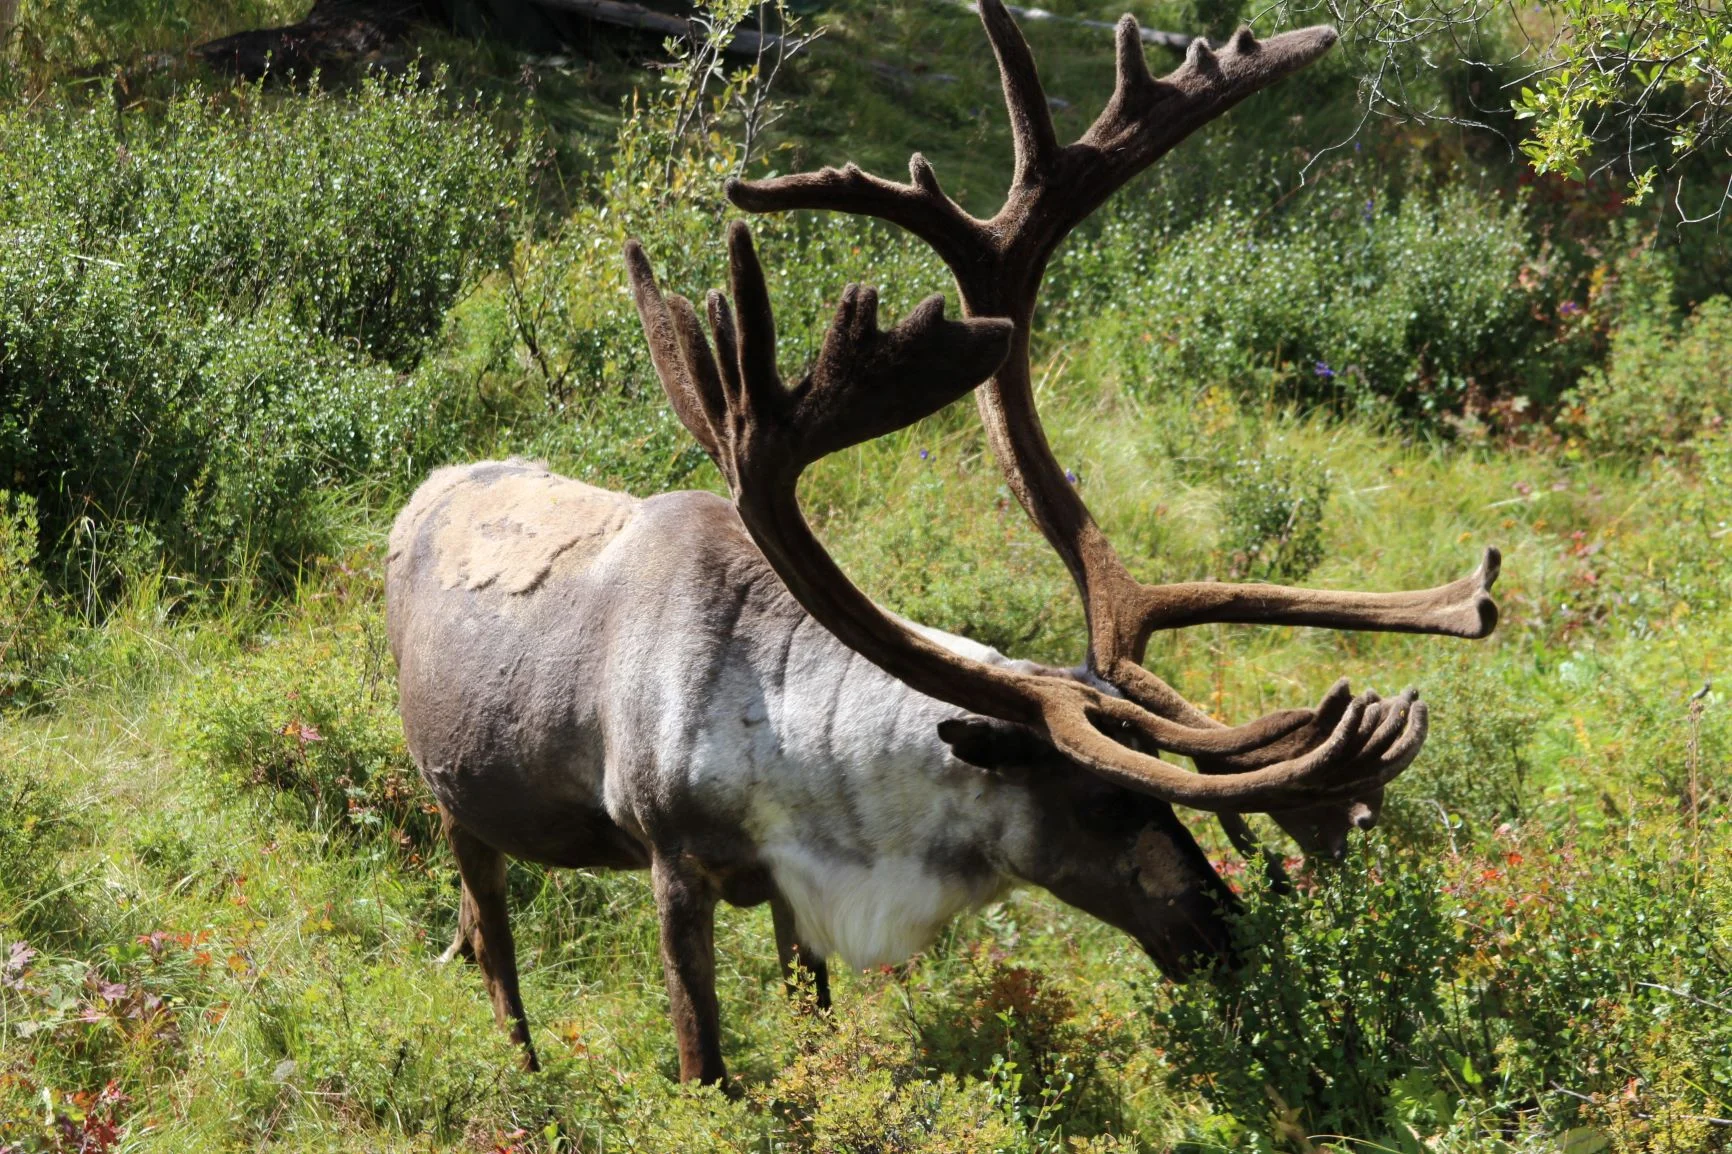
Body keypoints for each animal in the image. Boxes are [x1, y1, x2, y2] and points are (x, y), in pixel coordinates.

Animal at [384, 0, 1500, 1084]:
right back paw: (525, 1072)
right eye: (1103, 799)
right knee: (491, 931)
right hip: (451, 796)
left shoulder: (793, 889)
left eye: (1158, 778)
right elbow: (704, 1063)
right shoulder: (672, 859)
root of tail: (423, 490)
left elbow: (814, 1030)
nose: (1229, 938)